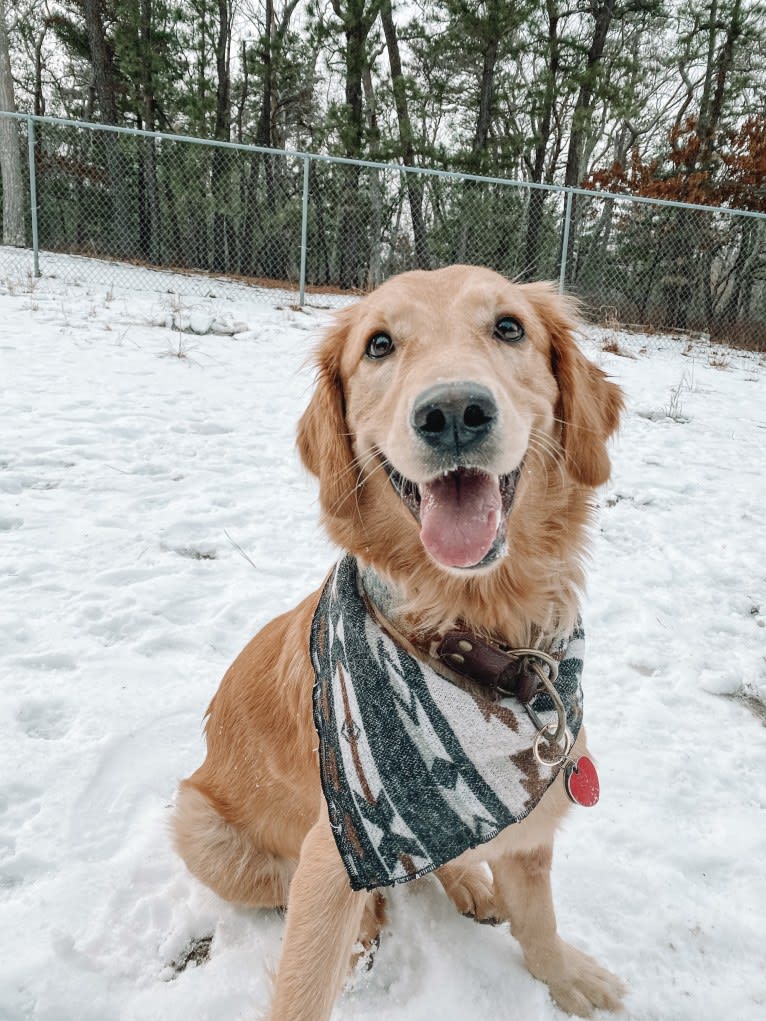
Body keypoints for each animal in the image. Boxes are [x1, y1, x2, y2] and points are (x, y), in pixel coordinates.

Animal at [175, 267, 629, 1016]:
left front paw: (566, 976)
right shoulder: (335, 849)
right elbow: (303, 984)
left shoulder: (533, 822)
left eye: (509, 327)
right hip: (199, 824)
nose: (453, 412)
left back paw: (468, 882)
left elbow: (539, 921)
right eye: (379, 344)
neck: (472, 629)